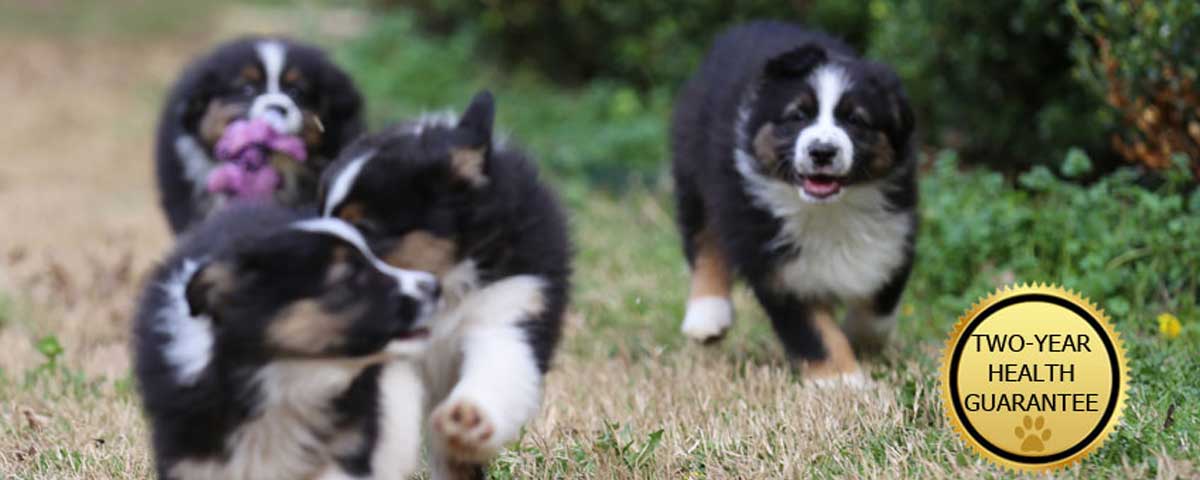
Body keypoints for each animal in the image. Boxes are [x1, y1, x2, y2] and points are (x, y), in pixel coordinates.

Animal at [672, 21, 912, 381]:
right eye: (798, 115)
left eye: (856, 120)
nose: (822, 151)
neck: (827, 210)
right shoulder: (775, 264)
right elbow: (813, 330)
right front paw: (842, 380)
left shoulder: (895, 234)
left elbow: (879, 304)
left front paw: (861, 340)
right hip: (694, 169)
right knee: (703, 238)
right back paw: (707, 316)